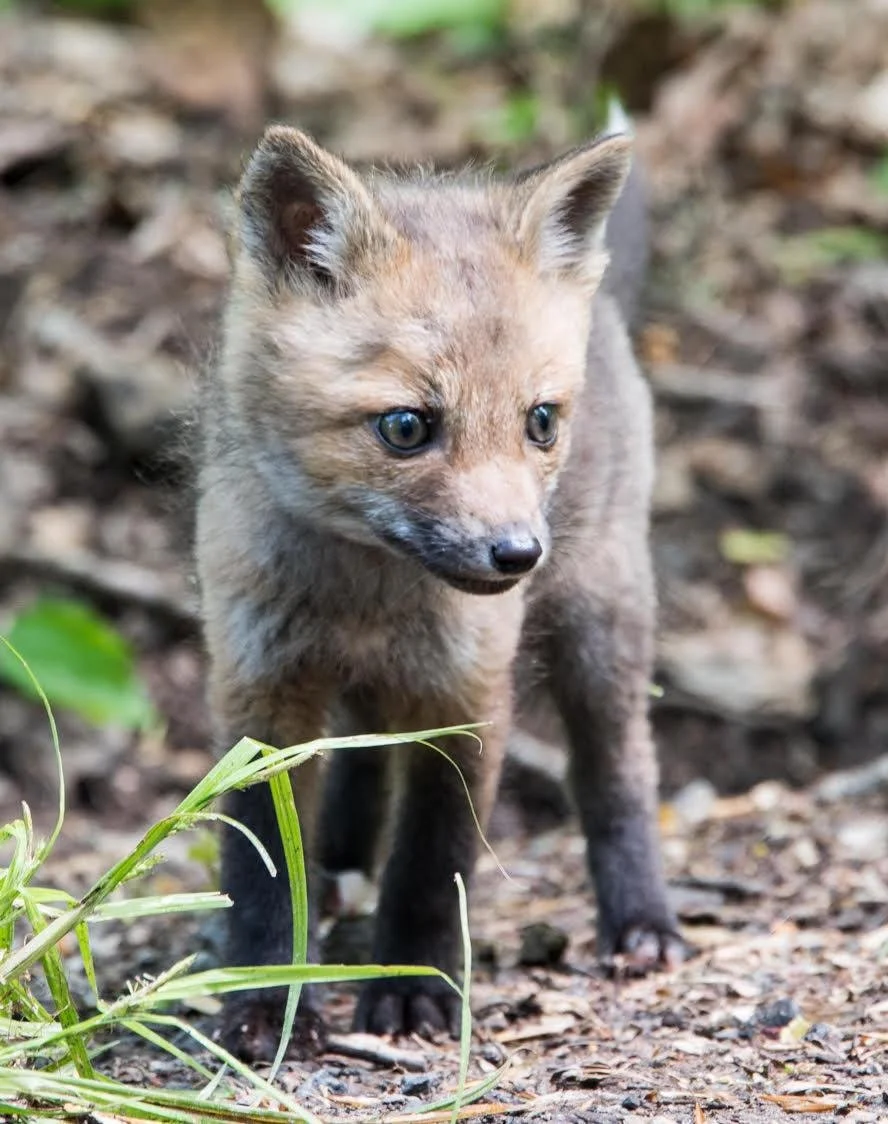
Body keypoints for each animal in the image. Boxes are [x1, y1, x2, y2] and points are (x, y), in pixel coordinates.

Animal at [196, 119, 685, 1062]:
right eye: (406, 427)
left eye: (539, 421)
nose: (518, 554)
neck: (365, 597)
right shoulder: (261, 690)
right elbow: (267, 869)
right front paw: (270, 1002)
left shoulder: (467, 699)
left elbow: (432, 865)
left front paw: (412, 992)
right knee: (360, 769)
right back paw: (343, 870)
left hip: (602, 623)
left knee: (618, 770)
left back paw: (640, 922)